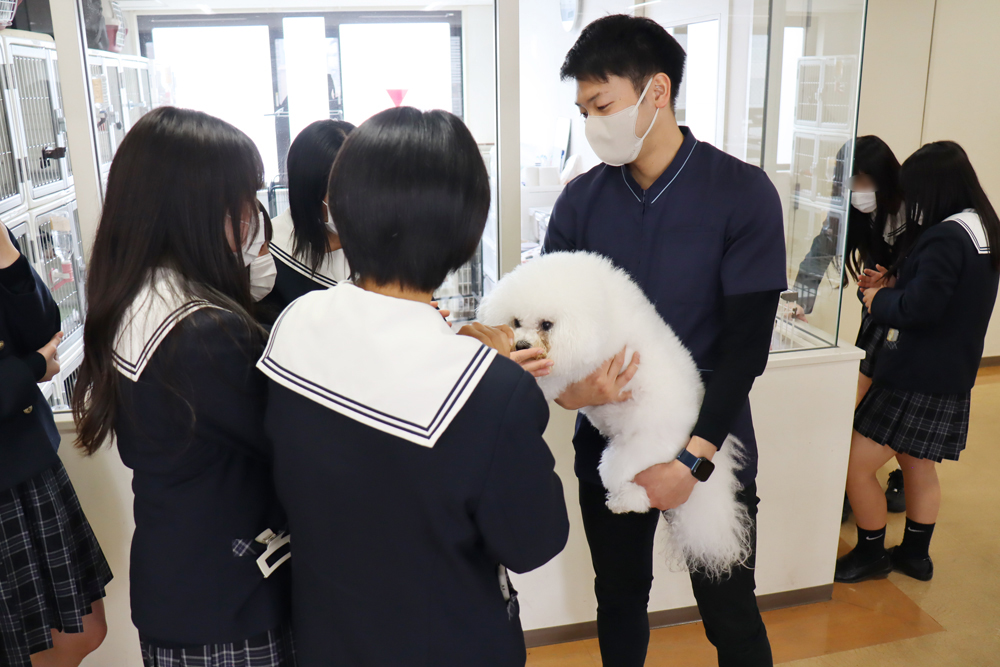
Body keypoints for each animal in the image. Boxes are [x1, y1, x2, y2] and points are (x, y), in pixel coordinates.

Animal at [478, 251, 751, 577]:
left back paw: (623, 502)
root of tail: (691, 441)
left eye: (546, 324)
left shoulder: (574, 366)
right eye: (516, 321)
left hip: (631, 457)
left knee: (636, 491)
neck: (600, 306)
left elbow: (547, 381)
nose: (520, 345)